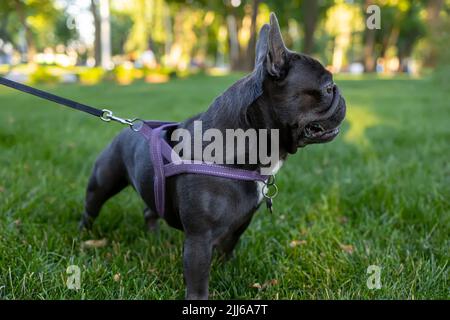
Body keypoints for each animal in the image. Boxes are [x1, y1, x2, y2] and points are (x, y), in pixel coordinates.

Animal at [79, 13, 346, 300]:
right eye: (327, 88)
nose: (340, 93)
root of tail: (130, 127)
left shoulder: (240, 223)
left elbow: (228, 249)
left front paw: (227, 271)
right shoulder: (199, 238)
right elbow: (198, 280)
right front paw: (199, 297)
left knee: (150, 210)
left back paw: (153, 237)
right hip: (103, 182)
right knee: (92, 207)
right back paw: (84, 236)